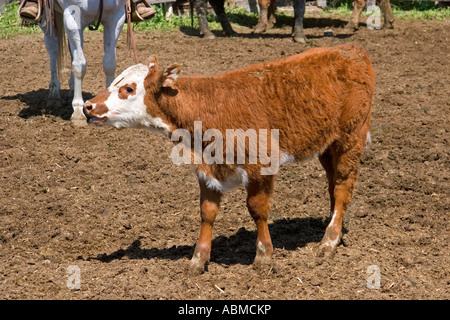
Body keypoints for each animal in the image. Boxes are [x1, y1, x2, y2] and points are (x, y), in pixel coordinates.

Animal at [84, 44, 376, 276]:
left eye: (128, 88)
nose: (87, 106)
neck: (206, 107)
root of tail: (352, 50)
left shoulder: (260, 166)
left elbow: (258, 209)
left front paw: (264, 256)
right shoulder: (206, 169)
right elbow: (207, 213)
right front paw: (198, 260)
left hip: (351, 137)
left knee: (342, 187)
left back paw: (329, 241)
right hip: (327, 145)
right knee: (333, 186)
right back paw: (332, 226)